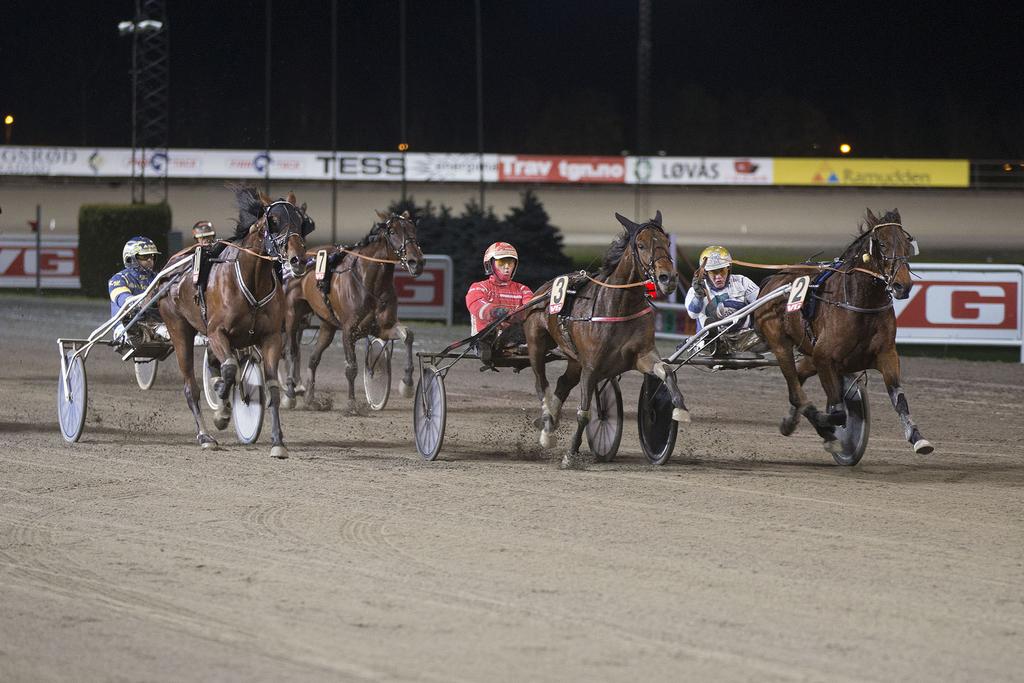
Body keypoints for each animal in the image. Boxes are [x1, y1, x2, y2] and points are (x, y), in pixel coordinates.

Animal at [159, 185, 309, 458]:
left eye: (301, 222)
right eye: (273, 220)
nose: (298, 260)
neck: (252, 281)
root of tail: (173, 264)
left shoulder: (271, 337)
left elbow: (271, 385)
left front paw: (278, 442)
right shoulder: (217, 332)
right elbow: (229, 368)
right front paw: (221, 404)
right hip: (179, 329)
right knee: (191, 387)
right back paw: (205, 435)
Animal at [280, 209, 423, 411]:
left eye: (413, 230)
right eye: (393, 232)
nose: (416, 262)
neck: (369, 282)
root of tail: (298, 260)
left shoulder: (383, 328)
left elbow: (408, 335)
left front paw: (407, 383)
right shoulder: (349, 331)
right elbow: (351, 367)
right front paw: (352, 403)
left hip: (328, 325)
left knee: (314, 358)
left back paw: (310, 398)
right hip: (292, 316)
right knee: (291, 351)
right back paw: (290, 394)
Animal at [528, 210, 688, 466]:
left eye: (667, 243)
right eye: (641, 245)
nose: (668, 278)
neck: (620, 306)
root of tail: (542, 289)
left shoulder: (642, 355)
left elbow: (667, 371)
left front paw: (679, 408)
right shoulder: (591, 366)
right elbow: (584, 413)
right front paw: (570, 453)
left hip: (574, 360)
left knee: (562, 384)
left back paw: (549, 423)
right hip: (536, 344)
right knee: (541, 384)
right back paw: (547, 430)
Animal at [757, 208, 933, 458]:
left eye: (906, 244)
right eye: (881, 243)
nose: (902, 286)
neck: (860, 304)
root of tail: (773, 278)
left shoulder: (886, 354)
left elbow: (899, 400)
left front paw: (918, 438)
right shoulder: (824, 358)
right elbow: (838, 411)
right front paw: (829, 428)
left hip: (809, 355)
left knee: (798, 379)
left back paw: (790, 422)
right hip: (781, 346)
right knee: (796, 391)